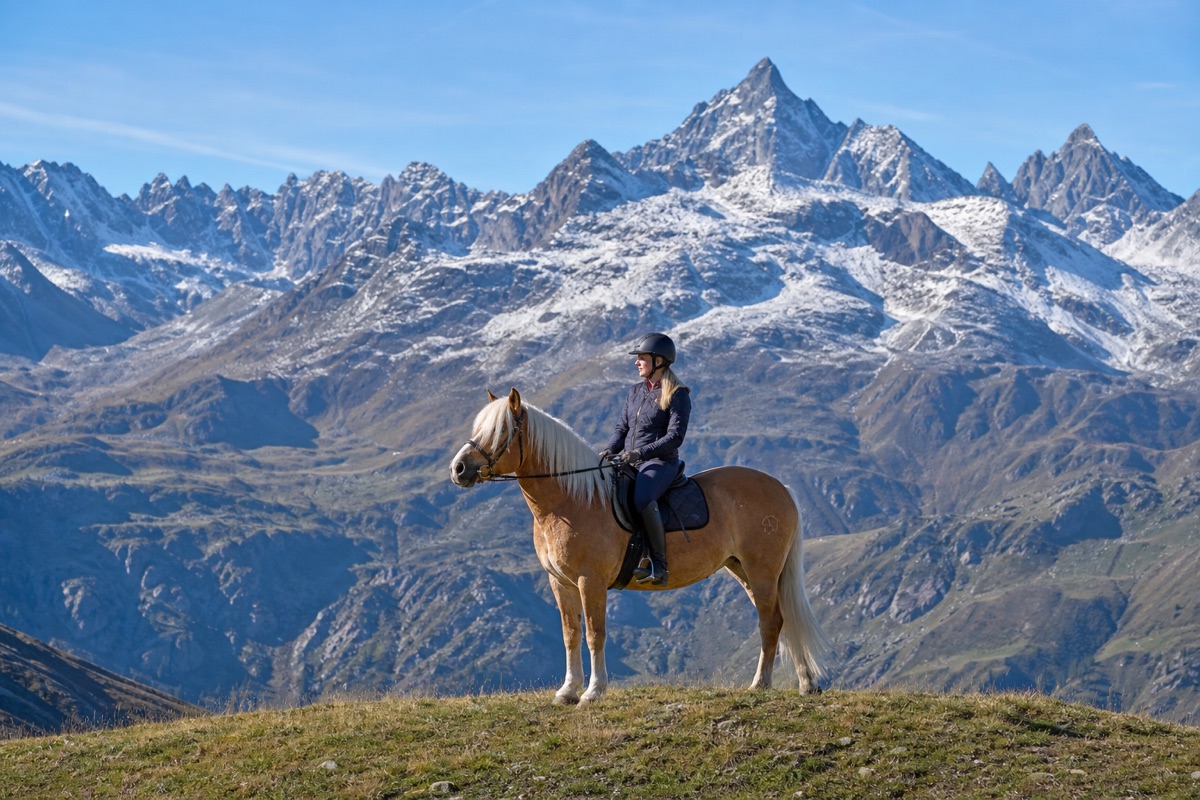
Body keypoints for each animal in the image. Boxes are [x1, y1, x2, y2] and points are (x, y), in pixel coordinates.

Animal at [449, 388, 829, 706]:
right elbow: (571, 634)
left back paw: (760, 684)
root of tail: (781, 487)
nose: (459, 468)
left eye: (500, 432)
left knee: (771, 622)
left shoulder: (590, 581)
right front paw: (567, 692)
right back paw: (806, 684)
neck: (571, 501)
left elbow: (594, 634)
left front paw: (593, 691)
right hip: (744, 570)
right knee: (782, 619)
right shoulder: (560, 582)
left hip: (761, 570)